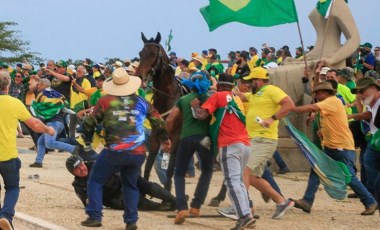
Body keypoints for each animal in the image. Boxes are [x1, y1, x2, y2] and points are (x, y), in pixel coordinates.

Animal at [136, 31, 183, 191]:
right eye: (140, 53)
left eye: (153, 54)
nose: (139, 76)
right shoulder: (155, 136)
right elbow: (148, 166)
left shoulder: (175, 138)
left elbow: (169, 169)